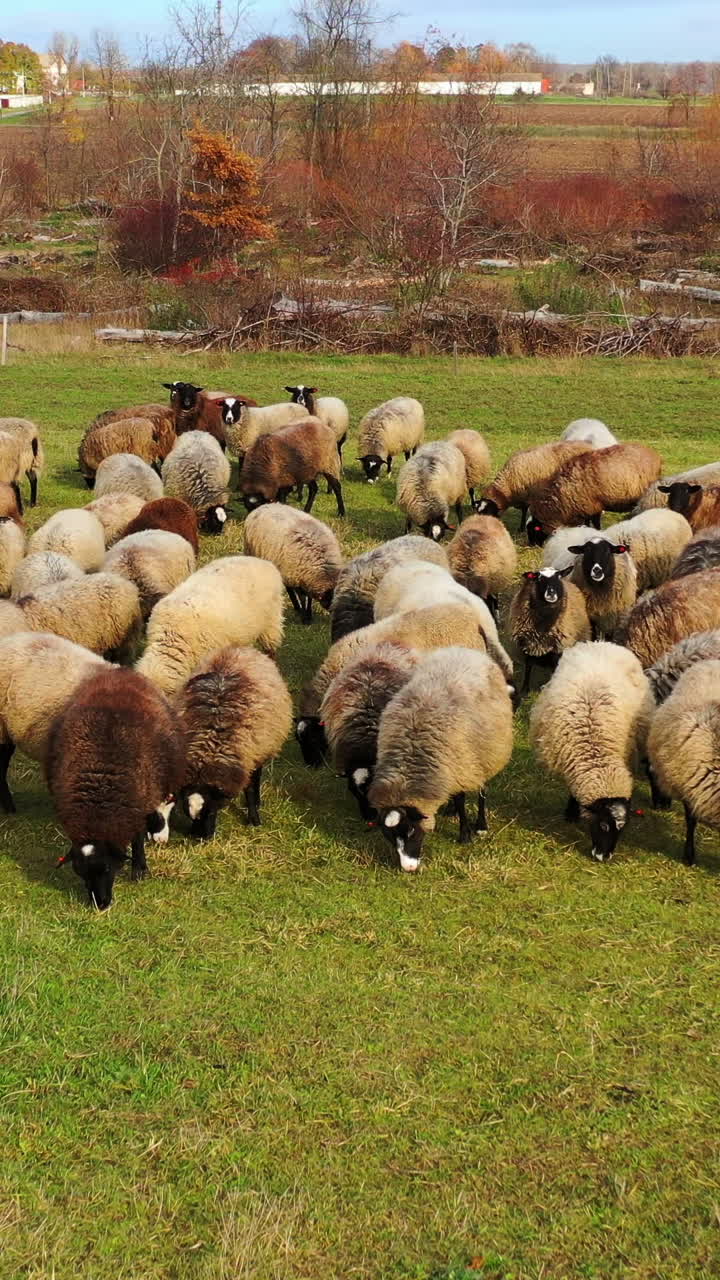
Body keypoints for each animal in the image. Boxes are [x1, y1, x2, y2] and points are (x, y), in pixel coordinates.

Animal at [47, 667, 185, 910]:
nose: (100, 905)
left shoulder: (137, 804)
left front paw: (139, 869)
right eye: (81, 874)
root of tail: (122, 671)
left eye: (107, 868)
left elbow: (137, 838)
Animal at [174, 647, 292, 836]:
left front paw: (254, 819)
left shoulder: (249, 756)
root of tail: (239, 648)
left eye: (211, 810)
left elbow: (250, 788)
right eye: (187, 813)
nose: (200, 837)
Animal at [369, 647, 514, 868]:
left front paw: (465, 835)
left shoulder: (461, 763)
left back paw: (481, 824)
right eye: (390, 836)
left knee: (482, 789)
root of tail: (463, 650)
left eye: (411, 830)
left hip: (484, 753)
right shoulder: (448, 769)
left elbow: (462, 800)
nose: (408, 868)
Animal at [508, 567, 591, 701]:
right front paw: (525, 690)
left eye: (558, 576)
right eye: (539, 578)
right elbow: (528, 666)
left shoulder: (558, 646)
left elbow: (555, 667)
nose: (551, 593)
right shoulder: (527, 642)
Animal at [527, 443, 663, 543]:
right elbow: (587, 521)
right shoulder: (586, 507)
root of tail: (655, 456)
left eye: (534, 529)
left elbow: (596, 522)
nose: (532, 545)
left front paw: (598, 532)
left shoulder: (594, 505)